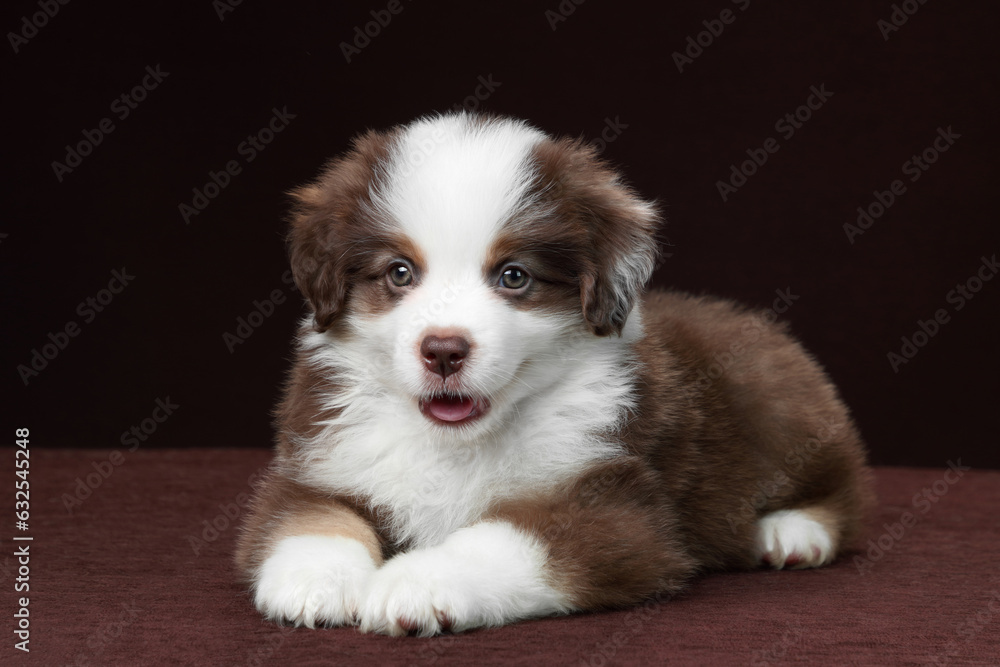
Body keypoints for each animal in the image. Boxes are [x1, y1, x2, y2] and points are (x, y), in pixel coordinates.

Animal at [234, 111, 868, 636]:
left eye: (514, 276)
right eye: (399, 272)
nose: (444, 351)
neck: (458, 445)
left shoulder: (612, 502)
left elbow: (502, 538)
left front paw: (418, 583)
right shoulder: (322, 461)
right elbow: (309, 517)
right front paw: (316, 583)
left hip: (780, 404)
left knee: (849, 490)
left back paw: (790, 533)